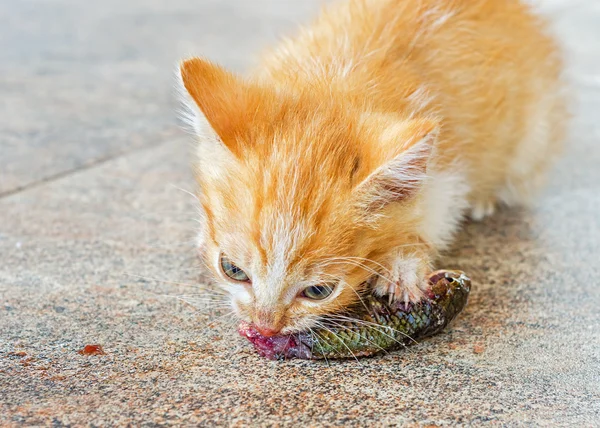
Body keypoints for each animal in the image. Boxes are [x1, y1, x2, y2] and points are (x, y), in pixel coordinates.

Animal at [178, 0, 568, 338]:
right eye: (232, 270)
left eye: (318, 291)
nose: (265, 327)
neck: (334, 80)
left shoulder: (447, 168)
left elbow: (433, 214)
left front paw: (402, 266)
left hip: (534, 136)